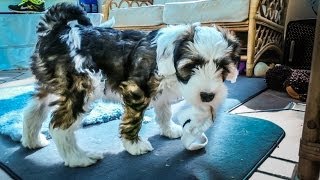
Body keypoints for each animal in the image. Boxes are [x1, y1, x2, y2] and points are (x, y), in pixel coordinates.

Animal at [20, 2, 240, 167]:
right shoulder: (137, 89)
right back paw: (79, 158)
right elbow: (133, 119)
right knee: (60, 125)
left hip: (52, 83)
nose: (208, 96)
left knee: (33, 109)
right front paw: (134, 145)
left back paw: (32, 141)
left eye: (222, 67)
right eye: (192, 66)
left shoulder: (161, 92)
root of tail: (56, 30)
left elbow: (164, 110)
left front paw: (169, 129)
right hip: (82, 86)